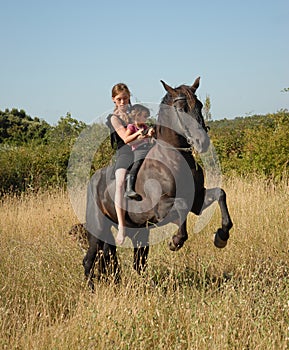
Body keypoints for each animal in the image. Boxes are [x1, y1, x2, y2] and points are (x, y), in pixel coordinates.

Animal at [82, 77, 232, 290]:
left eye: (200, 105)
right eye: (181, 109)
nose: (202, 142)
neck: (173, 157)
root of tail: (93, 181)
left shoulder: (197, 201)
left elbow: (220, 193)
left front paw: (221, 236)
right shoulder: (161, 208)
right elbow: (181, 206)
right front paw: (175, 241)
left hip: (138, 232)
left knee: (134, 263)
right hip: (97, 229)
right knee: (89, 260)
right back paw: (92, 290)